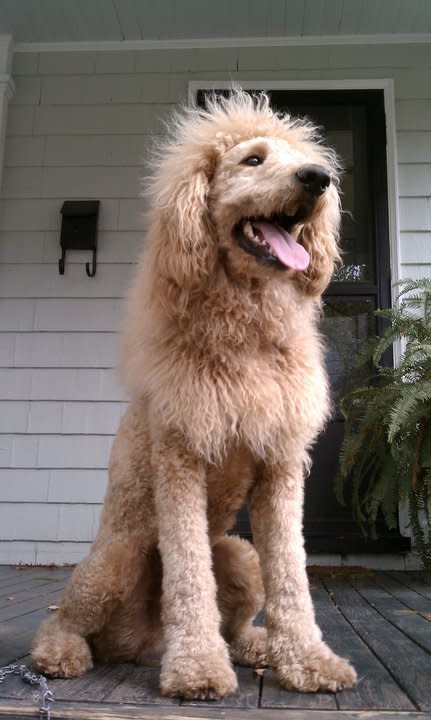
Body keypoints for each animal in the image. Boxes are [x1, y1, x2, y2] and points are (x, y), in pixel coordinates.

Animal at [32, 88, 358, 696]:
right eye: (252, 160)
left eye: (301, 159)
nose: (319, 177)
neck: (245, 335)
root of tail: (142, 645)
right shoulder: (180, 459)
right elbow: (188, 577)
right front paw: (199, 668)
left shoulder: (279, 467)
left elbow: (292, 576)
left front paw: (308, 661)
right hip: (117, 556)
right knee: (64, 618)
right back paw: (62, 654)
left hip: (238, 553)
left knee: (240, 609)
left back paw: (254, 645)